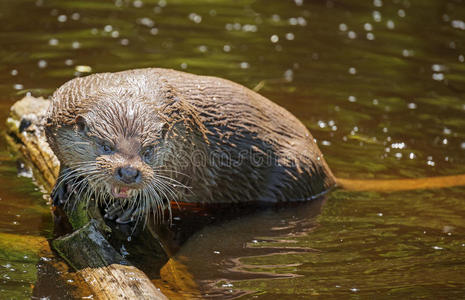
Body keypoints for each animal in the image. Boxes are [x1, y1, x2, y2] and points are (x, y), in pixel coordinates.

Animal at [45, 67, 464, 223]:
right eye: (104, 145)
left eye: (148, 150)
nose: (129, 172)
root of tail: (327, 171)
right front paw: (67, 181)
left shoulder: (191, 150)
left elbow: (171, 186)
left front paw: (134, 209)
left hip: (291, 172)